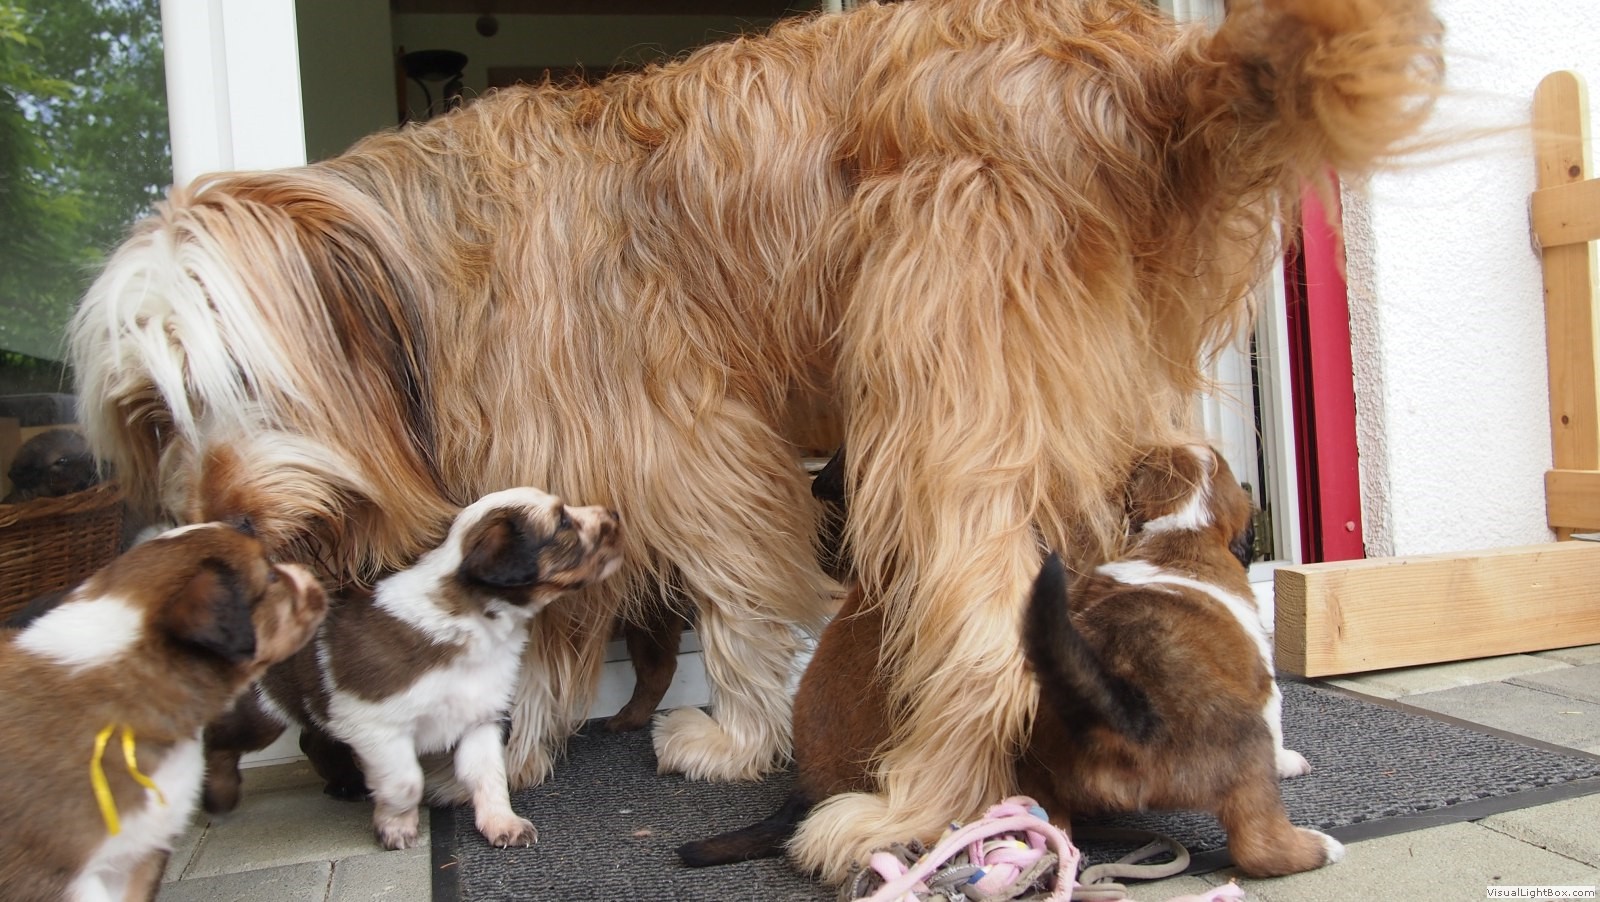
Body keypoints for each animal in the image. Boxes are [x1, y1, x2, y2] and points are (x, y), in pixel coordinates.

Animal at [201, 487, 622, 851]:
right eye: (563, 522)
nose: (615, 514)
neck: (474, 623)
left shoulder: (480, 719)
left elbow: (489, 776)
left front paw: (502, 824)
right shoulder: (375, 724)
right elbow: (406, 781)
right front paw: (395, 828)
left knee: (313, 738)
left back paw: (345, 784)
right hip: (260, 715)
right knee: (219, 742)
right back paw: (219, 795)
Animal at [683, 444, 1333, 881]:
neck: (1181, 535)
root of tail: (1115, 713)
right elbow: (1277, 717)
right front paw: (1293, 760)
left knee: (1054, 831)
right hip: (1239, 764)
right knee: (1256, 841)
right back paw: (1316, 846)